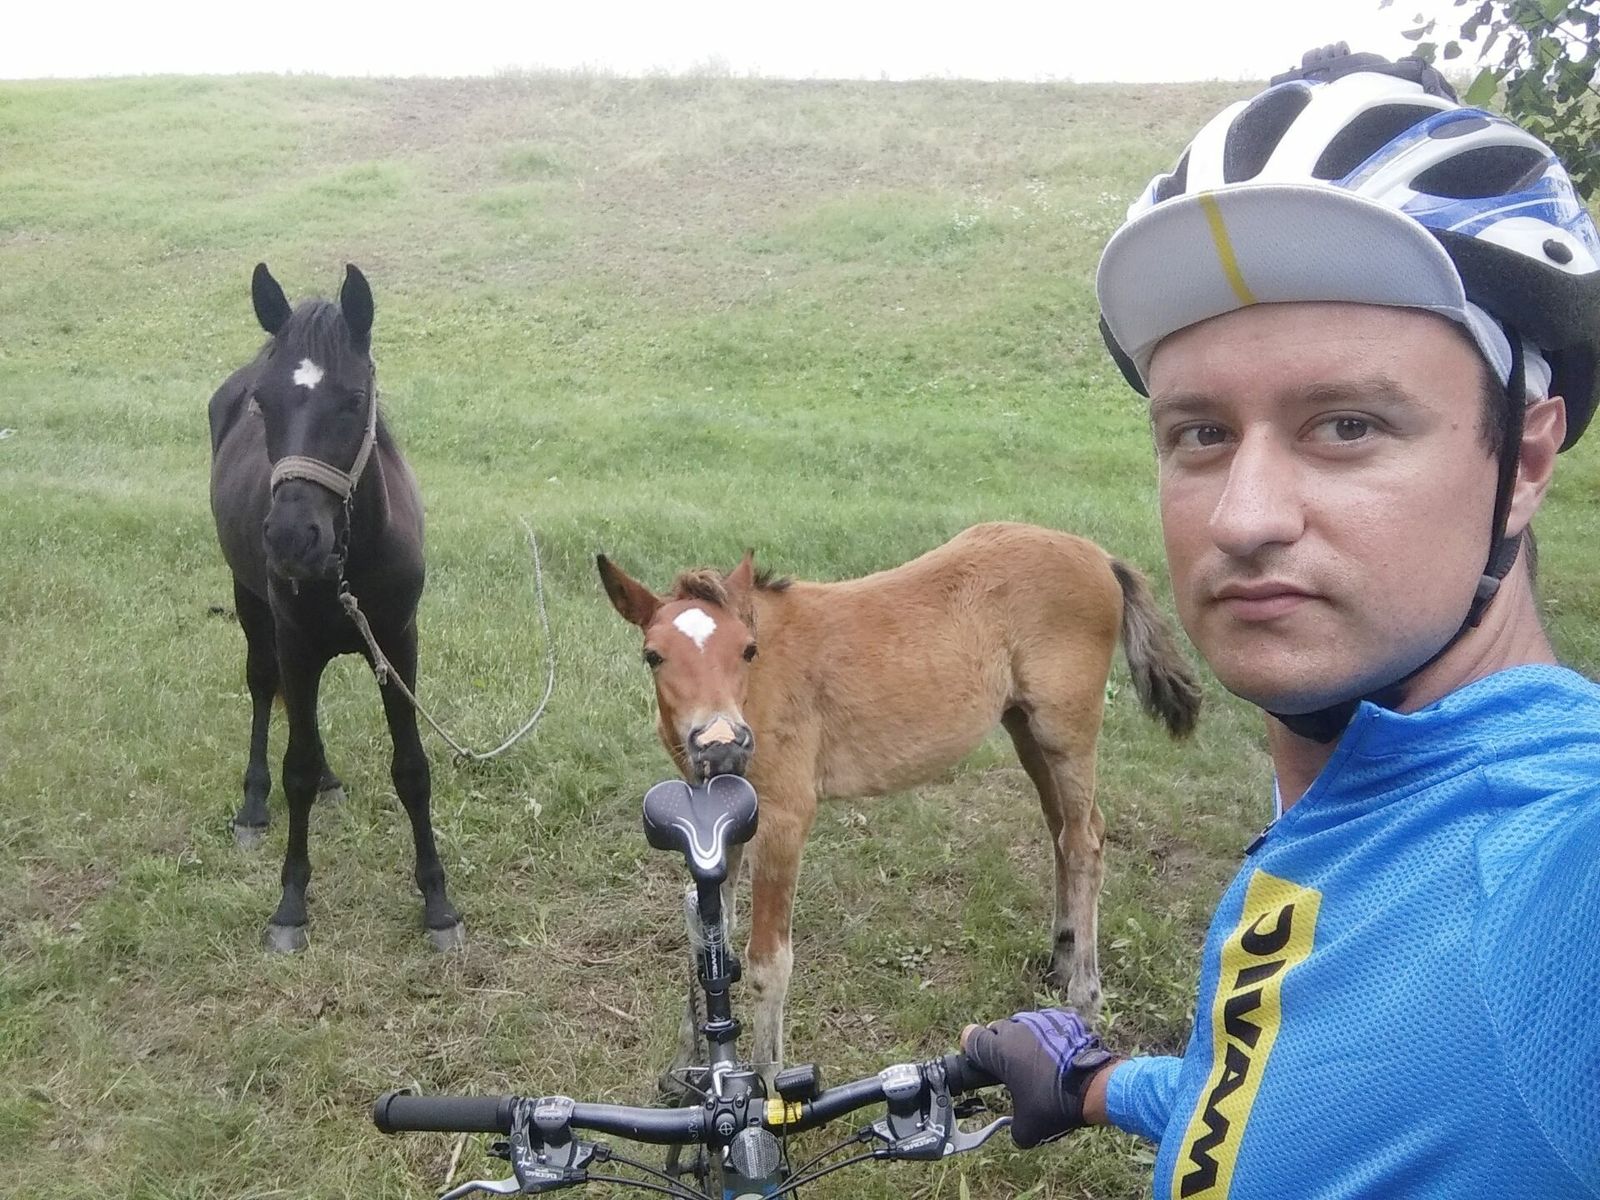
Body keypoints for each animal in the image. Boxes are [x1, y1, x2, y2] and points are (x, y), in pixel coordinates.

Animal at [208, 263, 463, 953]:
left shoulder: (397, 642)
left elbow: (412, 769)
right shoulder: (295, 643)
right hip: (252, 605)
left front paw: (438, 903)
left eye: (353, 399)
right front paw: (290, 905)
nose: (293, 538)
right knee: (264, 688)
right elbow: (293, 765)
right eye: (265, 403)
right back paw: (253, 805)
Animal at [598, 521, 1202, 1077]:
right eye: (653, 656)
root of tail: (1098, 554)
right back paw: (1061, 957)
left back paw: (1084, 998)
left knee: (1085, 842)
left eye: (748, 650)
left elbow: (768, 961)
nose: (721, 743)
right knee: (1065, 831)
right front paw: (688, 1070)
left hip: (1065, 731)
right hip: (1026, 730)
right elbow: (706, 937)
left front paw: (768, 1093)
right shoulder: (718, 818)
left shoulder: (785, 817)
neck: (759, 688)